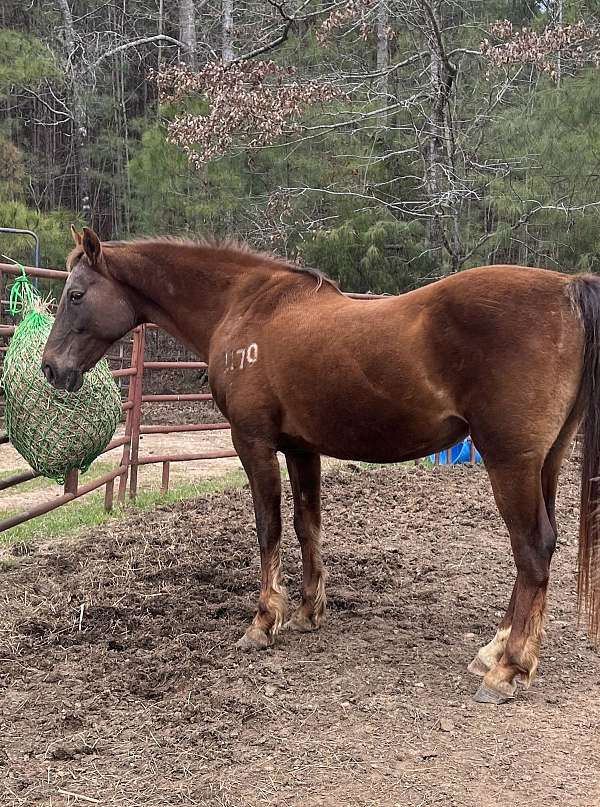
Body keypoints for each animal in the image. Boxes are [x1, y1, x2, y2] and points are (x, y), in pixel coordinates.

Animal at [43, 224, 600, 704]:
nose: (51, 368)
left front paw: (263, 622)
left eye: (75, 295)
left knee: (532, 549)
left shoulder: (253, 442)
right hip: (544, 463)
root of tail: (566, 289)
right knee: (538, 552)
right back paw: (499, 653)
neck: (245, 307)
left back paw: (506, 670)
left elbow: (268, 527)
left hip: (510, 462)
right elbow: (306, 524)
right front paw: (309, 611)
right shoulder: (300, 447)